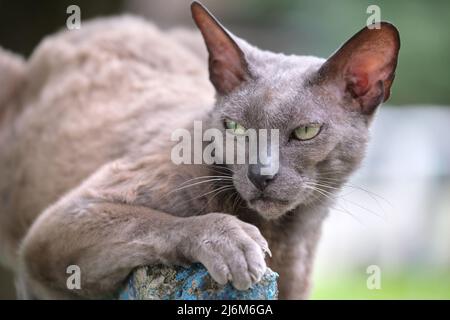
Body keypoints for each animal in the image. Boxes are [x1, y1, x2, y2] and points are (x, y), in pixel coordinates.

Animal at [0, 1, 400, 298]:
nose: (261, 174)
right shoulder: (56, 226)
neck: (284, 234)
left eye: (305, 131)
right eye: (235, 127)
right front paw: (234, 244)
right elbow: (153, 221)